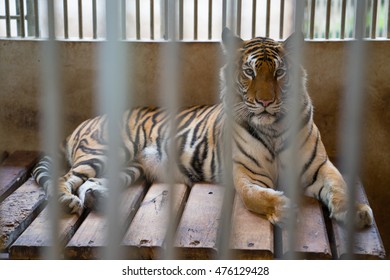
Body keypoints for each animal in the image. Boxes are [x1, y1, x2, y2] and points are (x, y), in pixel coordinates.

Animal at [32, 27, 374, 229]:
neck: (273, 128)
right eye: (249, 72)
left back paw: (96, 198)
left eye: (279, 73)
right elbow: (258, 196)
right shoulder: (247, 175)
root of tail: (86, 122)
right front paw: (285, 208)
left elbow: (340, 187)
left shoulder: (319, 167)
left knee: (90, 184)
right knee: (65, 178)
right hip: (106, 150)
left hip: (130, 167)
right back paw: (67, 201)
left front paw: (356, 212)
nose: (264, 102)